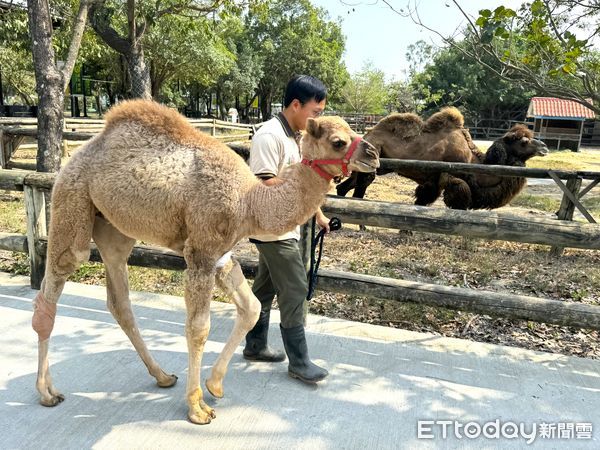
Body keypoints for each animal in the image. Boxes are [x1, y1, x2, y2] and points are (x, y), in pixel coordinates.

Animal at [30, 99, 378, 426]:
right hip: (72, 199)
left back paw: (162, 376)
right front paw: (197, 407)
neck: (250, 202)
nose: (373, 154)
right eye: (338, 141)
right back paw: (47, 392)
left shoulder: (220, 253)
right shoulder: (201, 250)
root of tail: (79, 154)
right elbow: (199, 328)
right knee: (55, 280)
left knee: (119, 300)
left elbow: (251, 308)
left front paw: (216, 385)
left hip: (115, 229)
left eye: (351, 131)